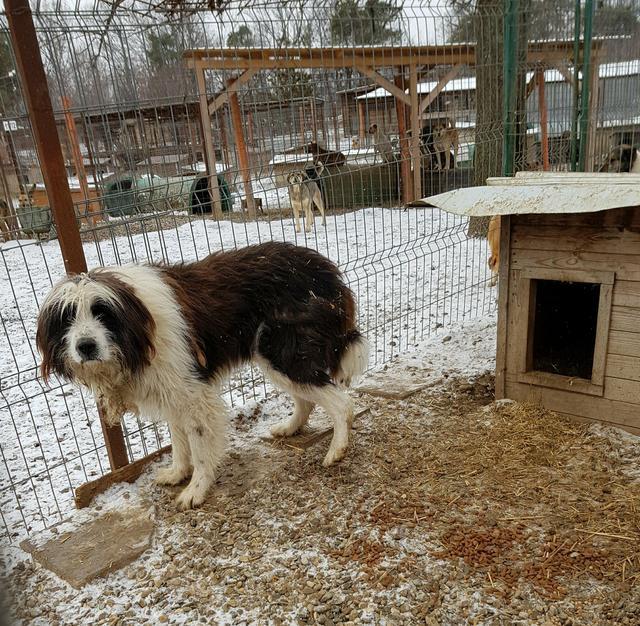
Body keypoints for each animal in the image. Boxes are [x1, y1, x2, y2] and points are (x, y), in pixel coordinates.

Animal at [37, 241, 368, 510]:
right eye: (67, 318)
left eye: (102, 312)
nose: (85, 346)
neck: (139, 328)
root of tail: (325, 269)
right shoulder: (172, 391)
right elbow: (179, 441)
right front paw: (177, 473)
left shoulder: (193, 394)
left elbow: (198, 448)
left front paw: (196, 488)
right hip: (276, 357)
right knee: (308, 399)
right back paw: (291, 428)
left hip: (282, 354)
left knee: (342, 403)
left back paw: (337, 450)